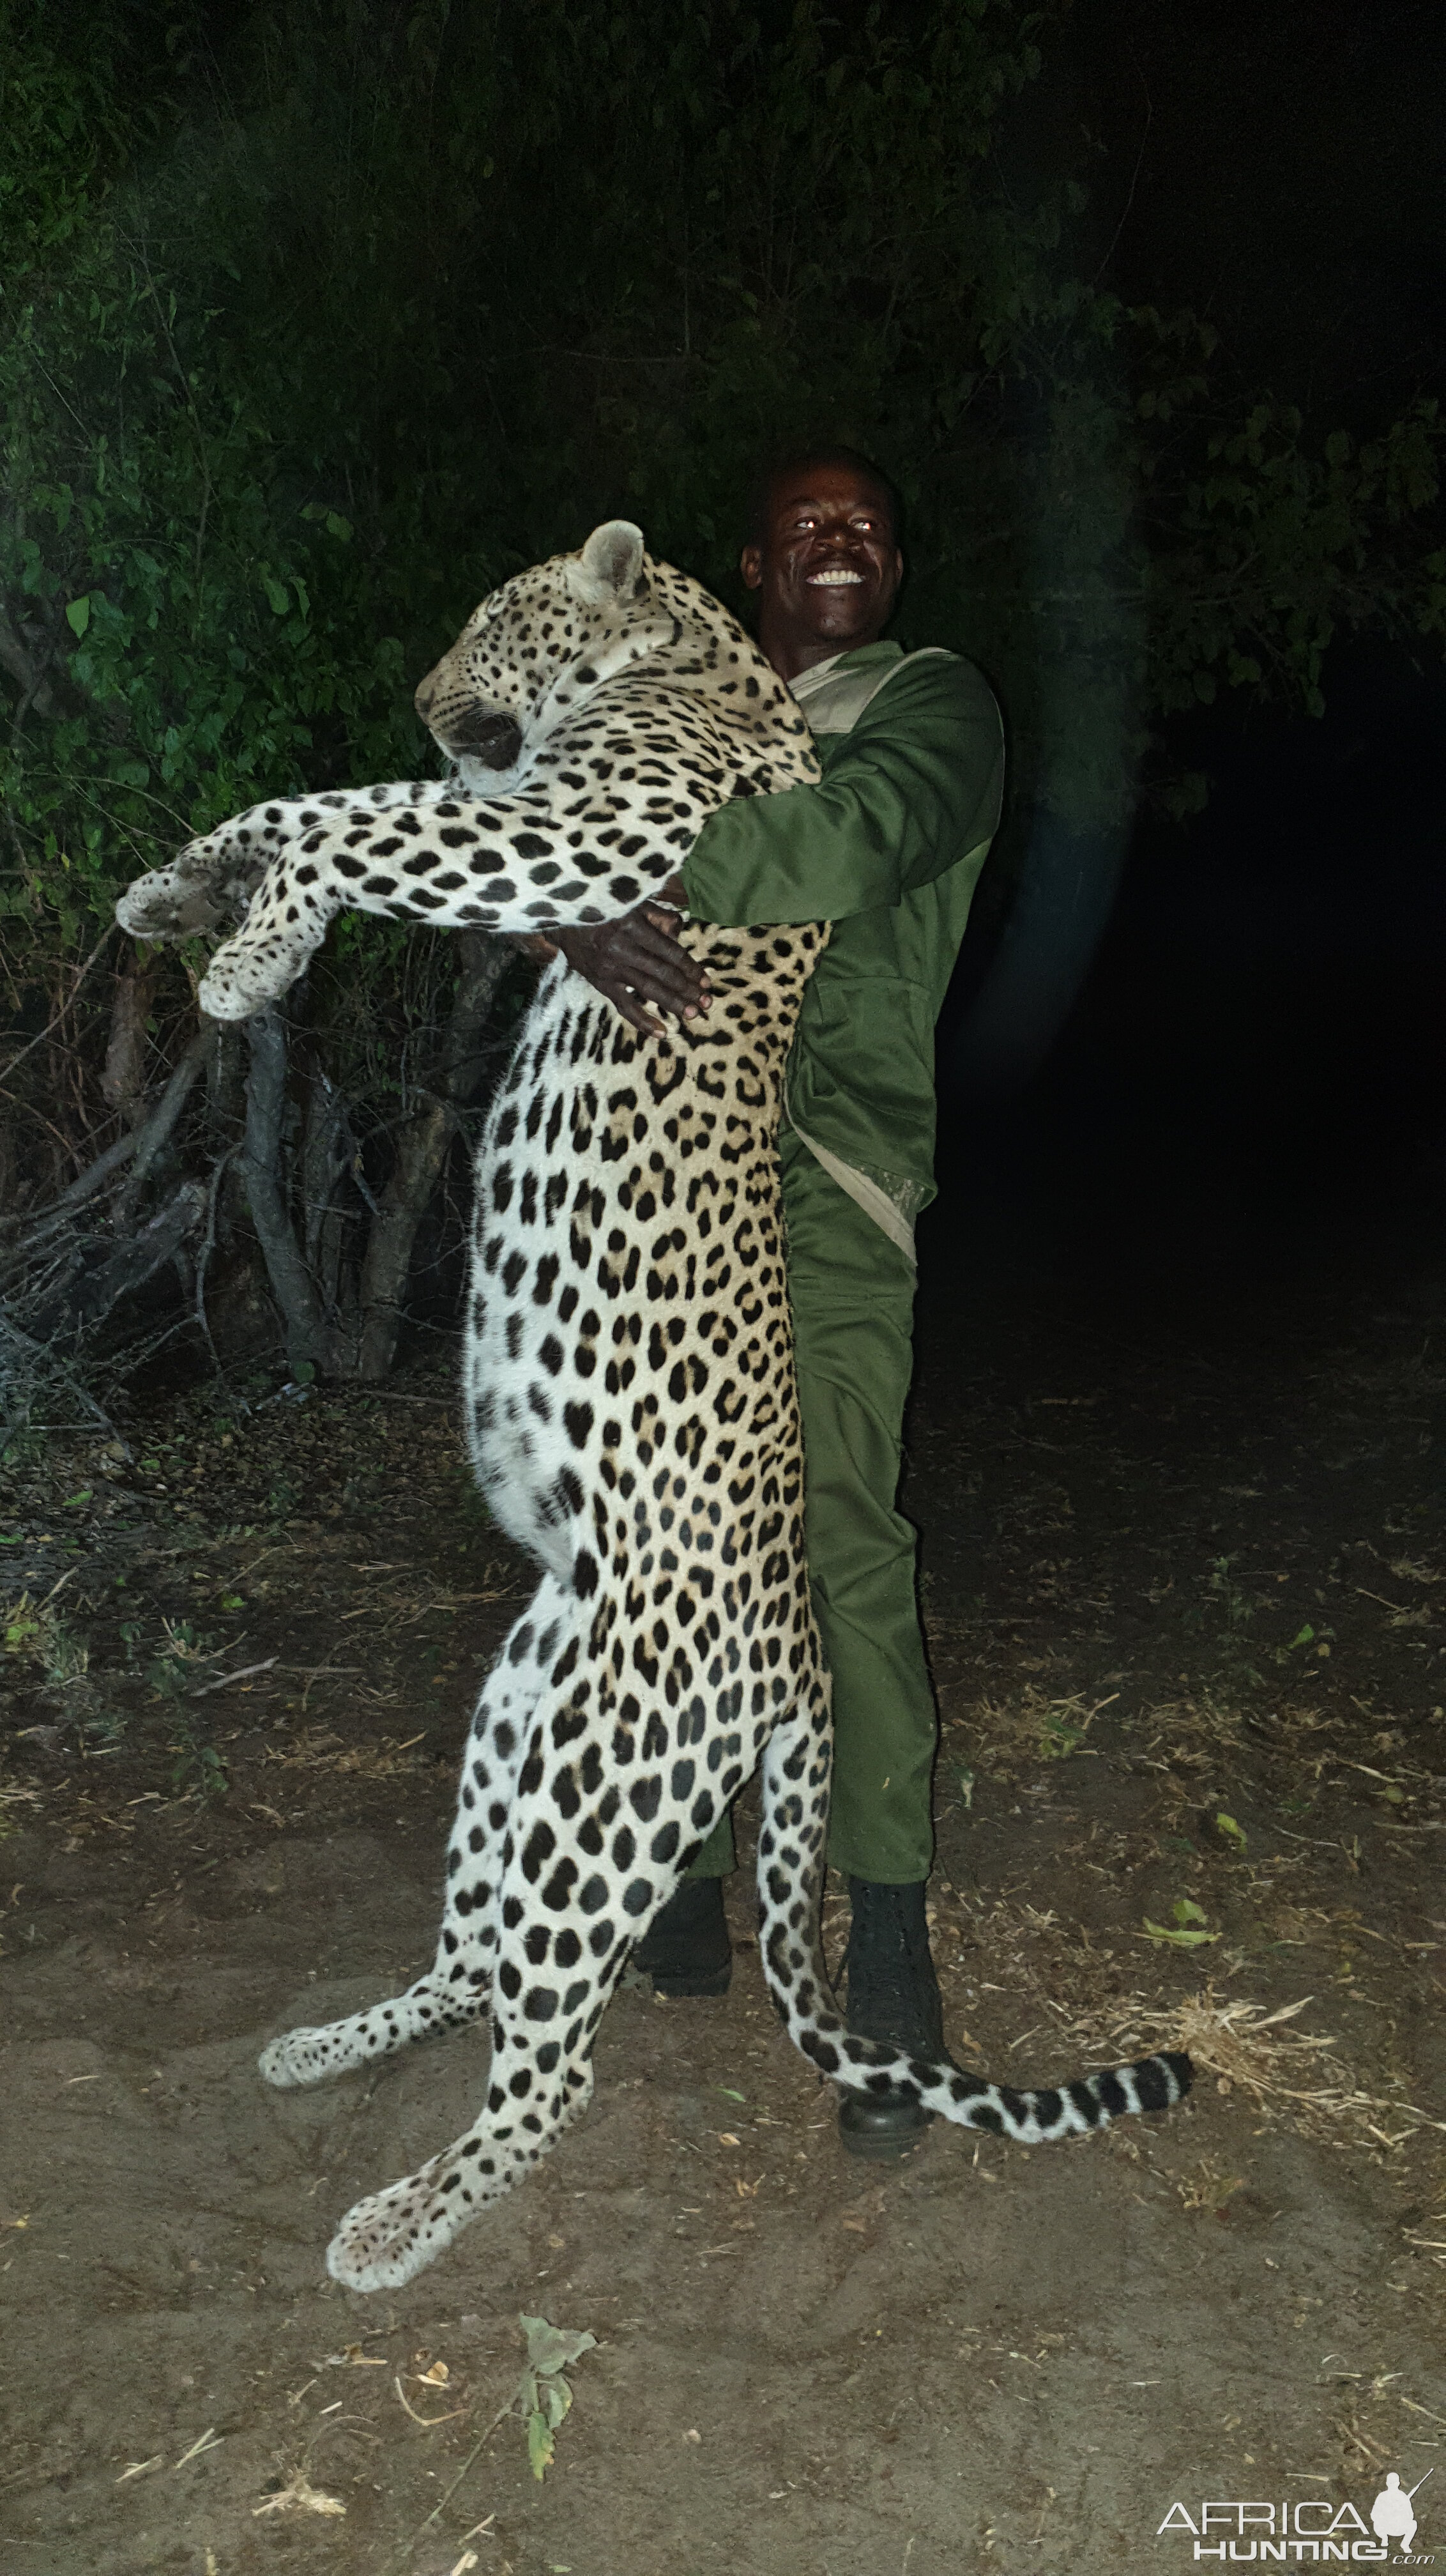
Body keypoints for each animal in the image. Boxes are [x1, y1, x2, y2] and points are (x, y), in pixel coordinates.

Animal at [118, 523, 1189, 2297]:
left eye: (490, 621)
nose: (425, 695)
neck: (693, 659)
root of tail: (799, 1663)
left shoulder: (576, 835)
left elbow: (354, 816)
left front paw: (249, 955)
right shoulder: (529, 822)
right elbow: (316, 801)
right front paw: (180, 890)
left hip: (598, 1782)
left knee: (551, 2066)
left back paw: (399, 2218)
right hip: (517, 1722)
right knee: (477, 1962)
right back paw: (331, 2045)